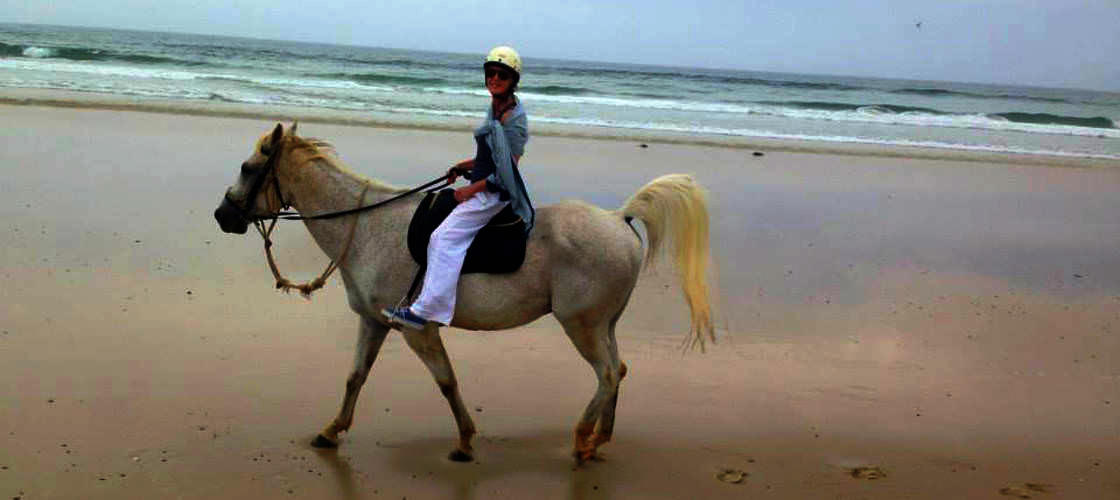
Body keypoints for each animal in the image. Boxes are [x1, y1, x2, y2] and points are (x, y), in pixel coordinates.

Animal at [214, 123, 714, 463]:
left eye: (248, 168)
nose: (222, 215)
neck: (368, 226)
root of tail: (618, 218)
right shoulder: (374, 321)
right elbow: (356, 377)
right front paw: (332, 430)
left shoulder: (417, 330)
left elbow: (446, 381)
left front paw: (465, 442)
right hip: (602, 325)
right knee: (619, 370)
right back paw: (598, 440)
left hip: (582, 326)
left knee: (608, 374)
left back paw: (579, 439)